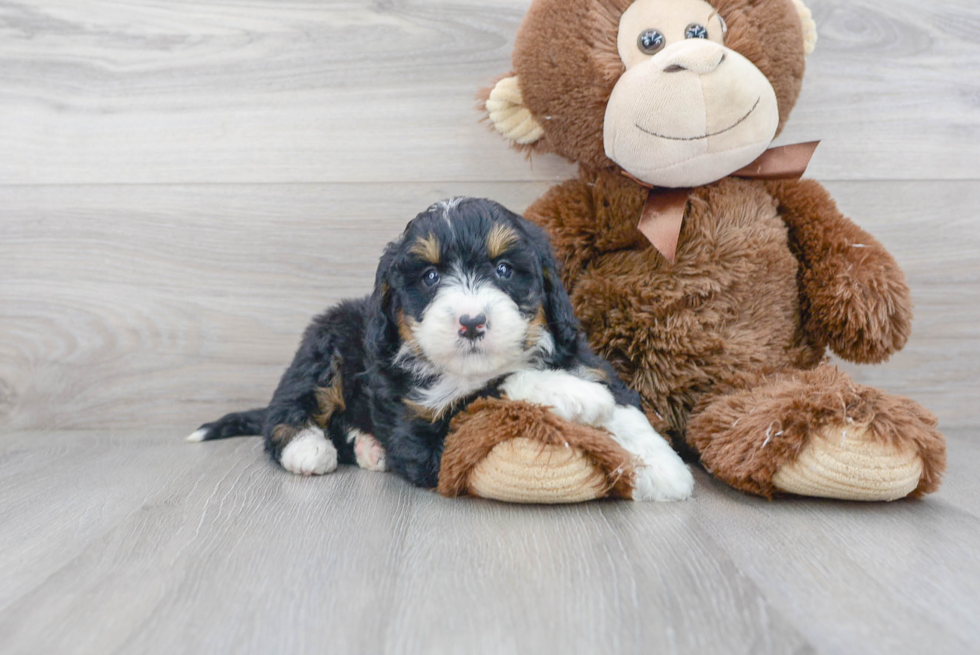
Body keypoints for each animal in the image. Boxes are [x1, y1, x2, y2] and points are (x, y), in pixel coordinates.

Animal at [189, 196, 696, 502]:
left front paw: (659, 468)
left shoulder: (582, 358)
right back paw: (308, 447)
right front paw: (572, 395)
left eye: (505, 269)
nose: (472, 322)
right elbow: (491, 389)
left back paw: (369, 447)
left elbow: (622, 406)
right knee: (285, 411)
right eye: (431, 276)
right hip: (323, 347)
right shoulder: (429, 431)